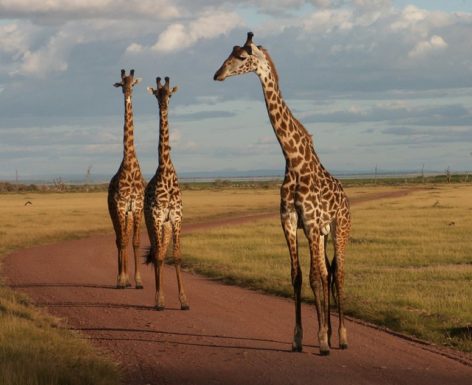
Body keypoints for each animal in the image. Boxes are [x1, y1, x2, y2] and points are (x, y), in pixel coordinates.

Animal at [214, 32, 350, 354]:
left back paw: (340, 337)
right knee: (328, 272)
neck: (293, 160)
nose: (218, 74)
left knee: (337, 274)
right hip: (324, 233)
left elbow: (315, 278)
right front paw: (299, 338)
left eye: (241, 57)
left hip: (339, 228)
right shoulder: (289, 221)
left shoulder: (310, 224)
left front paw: (322, 339)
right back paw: (328, 331)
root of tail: (346, 196)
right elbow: (298, 277)